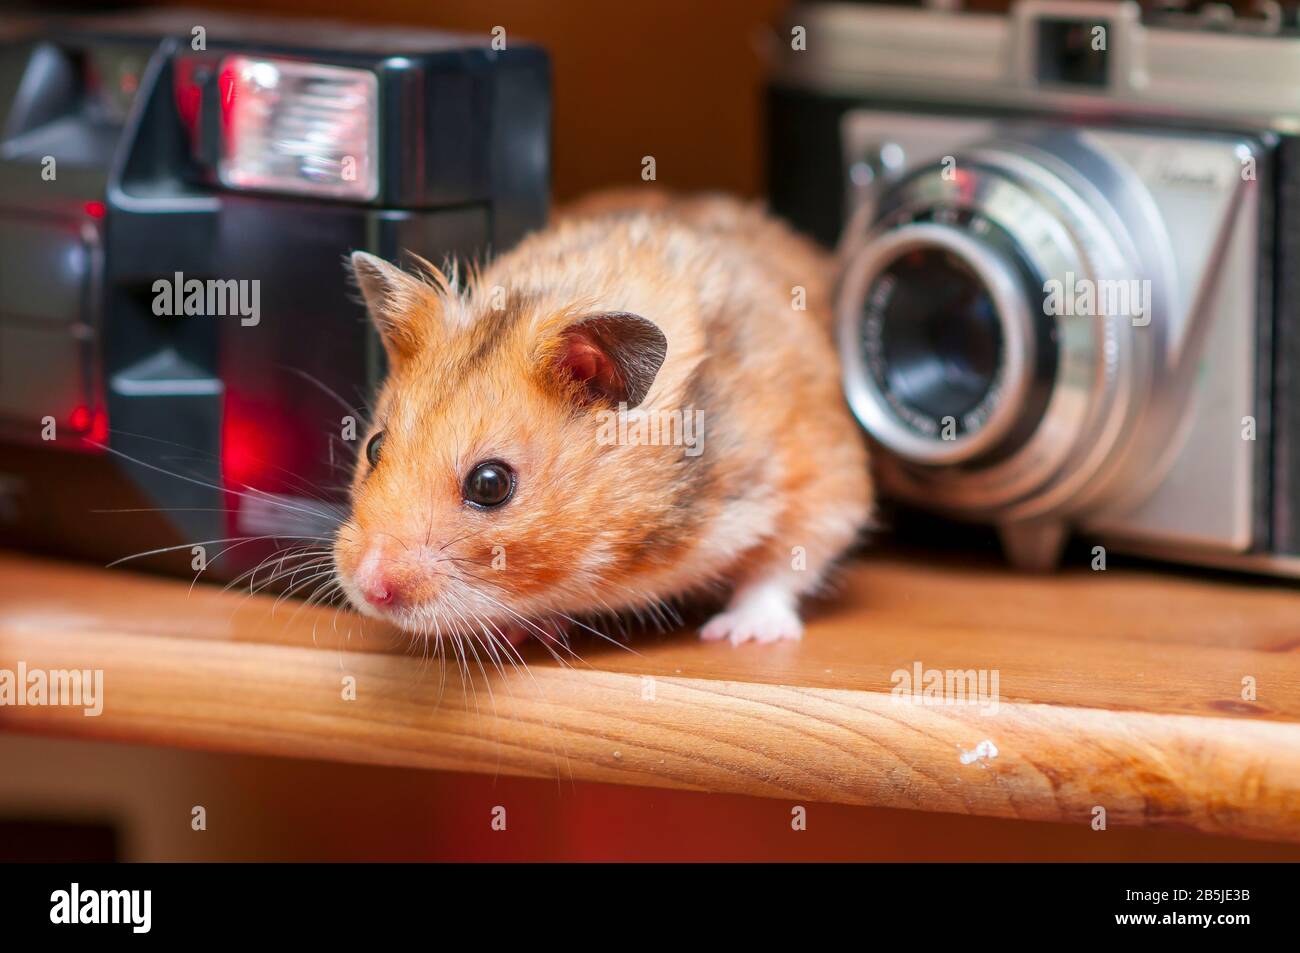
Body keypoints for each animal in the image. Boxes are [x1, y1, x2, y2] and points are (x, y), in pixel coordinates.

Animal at [333, 192, 871, 647]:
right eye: (374, 447)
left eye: (490, 484)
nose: (369, 588)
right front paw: (521, 630)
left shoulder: (817, 476)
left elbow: (781, 566)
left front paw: (740, 634)